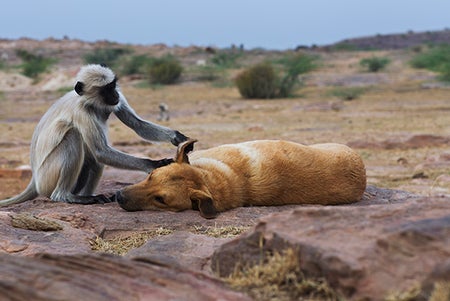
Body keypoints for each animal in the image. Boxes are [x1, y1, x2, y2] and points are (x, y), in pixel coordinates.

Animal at [0, 63, 186, 206]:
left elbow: (137, 124)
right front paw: (154, 164)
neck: (89, 102)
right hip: (47, 178)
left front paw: (178, 137)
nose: (115, 94)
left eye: (113, 86)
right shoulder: (82, 111)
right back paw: (66, 196)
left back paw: (87, 196)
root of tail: (34, 180)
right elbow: (100, 151)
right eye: (105, 90)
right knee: (75, 137)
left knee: (94, 161)